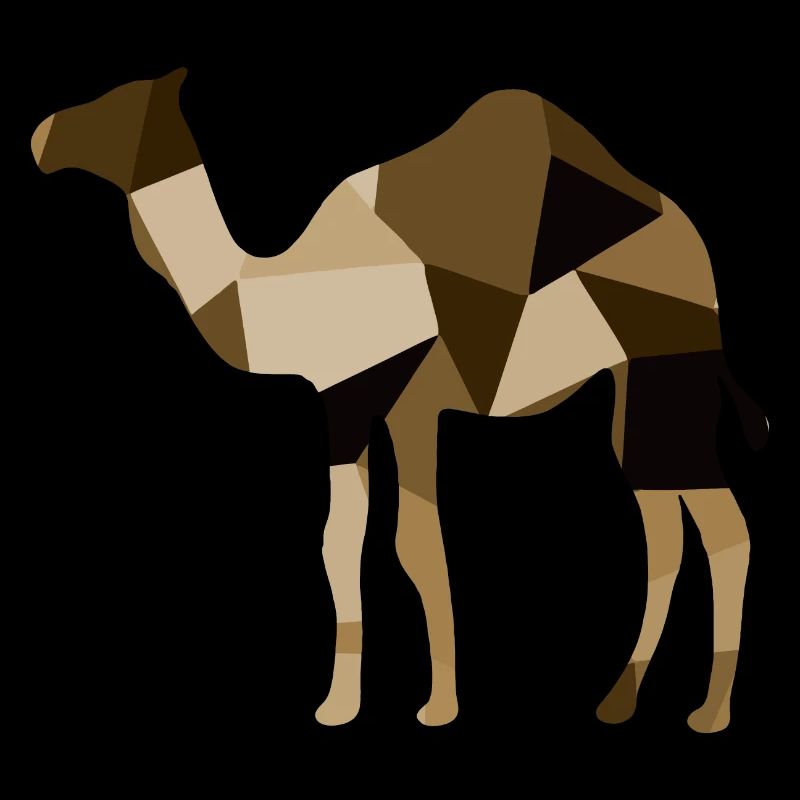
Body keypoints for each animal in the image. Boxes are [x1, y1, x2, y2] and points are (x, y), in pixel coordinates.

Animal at [31, 67, 767, 732]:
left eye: (110, 103)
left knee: (722, 527)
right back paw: (619, 700)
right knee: (664, 524)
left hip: (666, 371)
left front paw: (340, 707)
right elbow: (416, 541)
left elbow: (340, 542)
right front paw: (438, 705)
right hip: (634, 391)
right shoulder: (409, 408)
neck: (281, 290)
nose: (39, 135)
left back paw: (710, 713)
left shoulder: (348, 397)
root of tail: (701, 271)